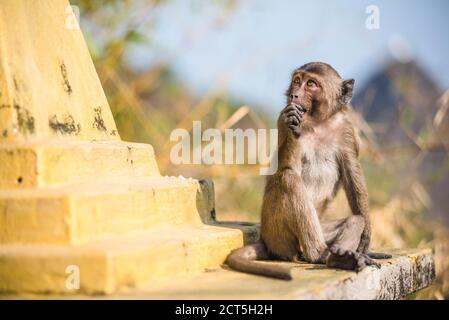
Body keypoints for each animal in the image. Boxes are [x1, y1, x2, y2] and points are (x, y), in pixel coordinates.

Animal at [226, 61, 390, 278]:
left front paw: (365, 243)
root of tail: (266, 240)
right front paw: (292, 124)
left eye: (311, 84)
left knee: (356, 220)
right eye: (297, 81)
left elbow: (352, 174)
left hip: (320, 227)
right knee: (288, 179)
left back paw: (340, 256)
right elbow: (286, 167)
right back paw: (320, 254)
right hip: (277, 233)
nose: (294, 94)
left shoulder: (346, 128)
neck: (317, 123)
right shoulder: (281, 117)